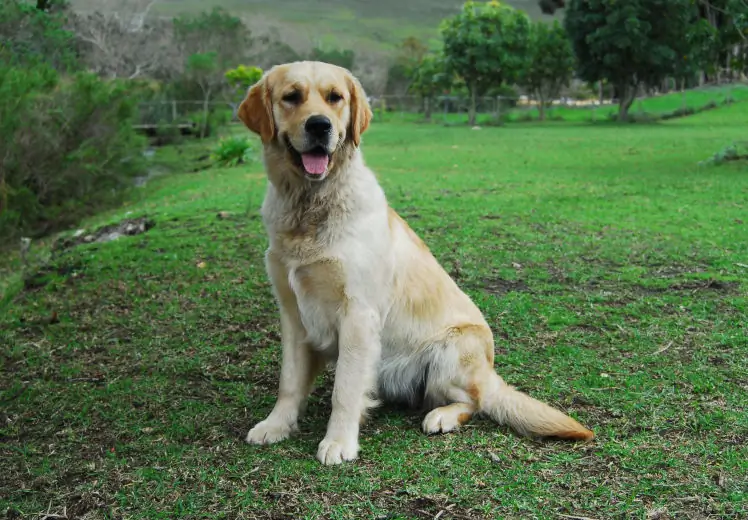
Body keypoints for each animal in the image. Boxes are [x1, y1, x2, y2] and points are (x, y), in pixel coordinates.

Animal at [237, 62, 592, 468]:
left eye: (335, 98)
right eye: (291, 97)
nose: (319, 126)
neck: (310, 206)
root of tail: (489, 372)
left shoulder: (358, 314)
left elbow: (345, 388)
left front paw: (339, 441)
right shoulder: (294, 313)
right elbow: (290, 381)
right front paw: (276, 425)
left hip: (450, 350)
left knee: (475, 401)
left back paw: (442, 416)